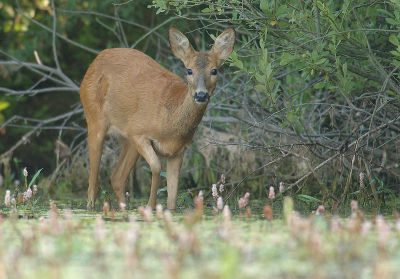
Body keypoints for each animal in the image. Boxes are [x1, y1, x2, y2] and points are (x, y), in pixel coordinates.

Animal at [80, 26, 234, 210]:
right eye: (189, 70)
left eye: (214, 70)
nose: (201, 95)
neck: (170, 121)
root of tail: (95, 61)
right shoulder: (137, 130)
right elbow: (156, 166)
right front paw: (150, 206)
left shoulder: (178, 152)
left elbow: (172, 197)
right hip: (95, 118)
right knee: (93, 184)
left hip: (127, 140)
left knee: (117, 178)